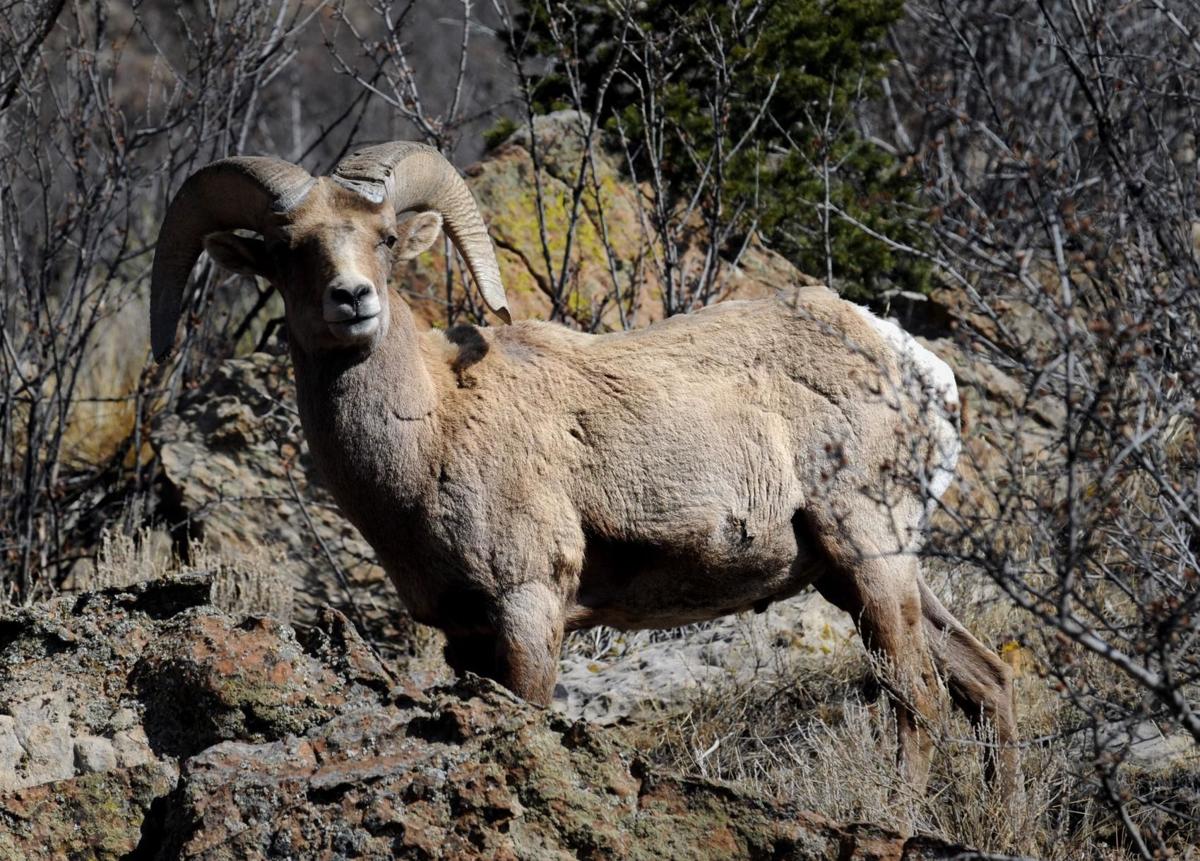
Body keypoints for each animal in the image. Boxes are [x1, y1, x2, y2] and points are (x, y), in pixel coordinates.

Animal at [150, 142, 1019, 797]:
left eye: (386, 239)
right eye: (287, 251)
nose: (354, 299)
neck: (432, 431)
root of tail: (916, 365)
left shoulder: (529, 608)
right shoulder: (466, 638)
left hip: (868, 554)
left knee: (921, 699)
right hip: (868, 571)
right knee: (986, 681)